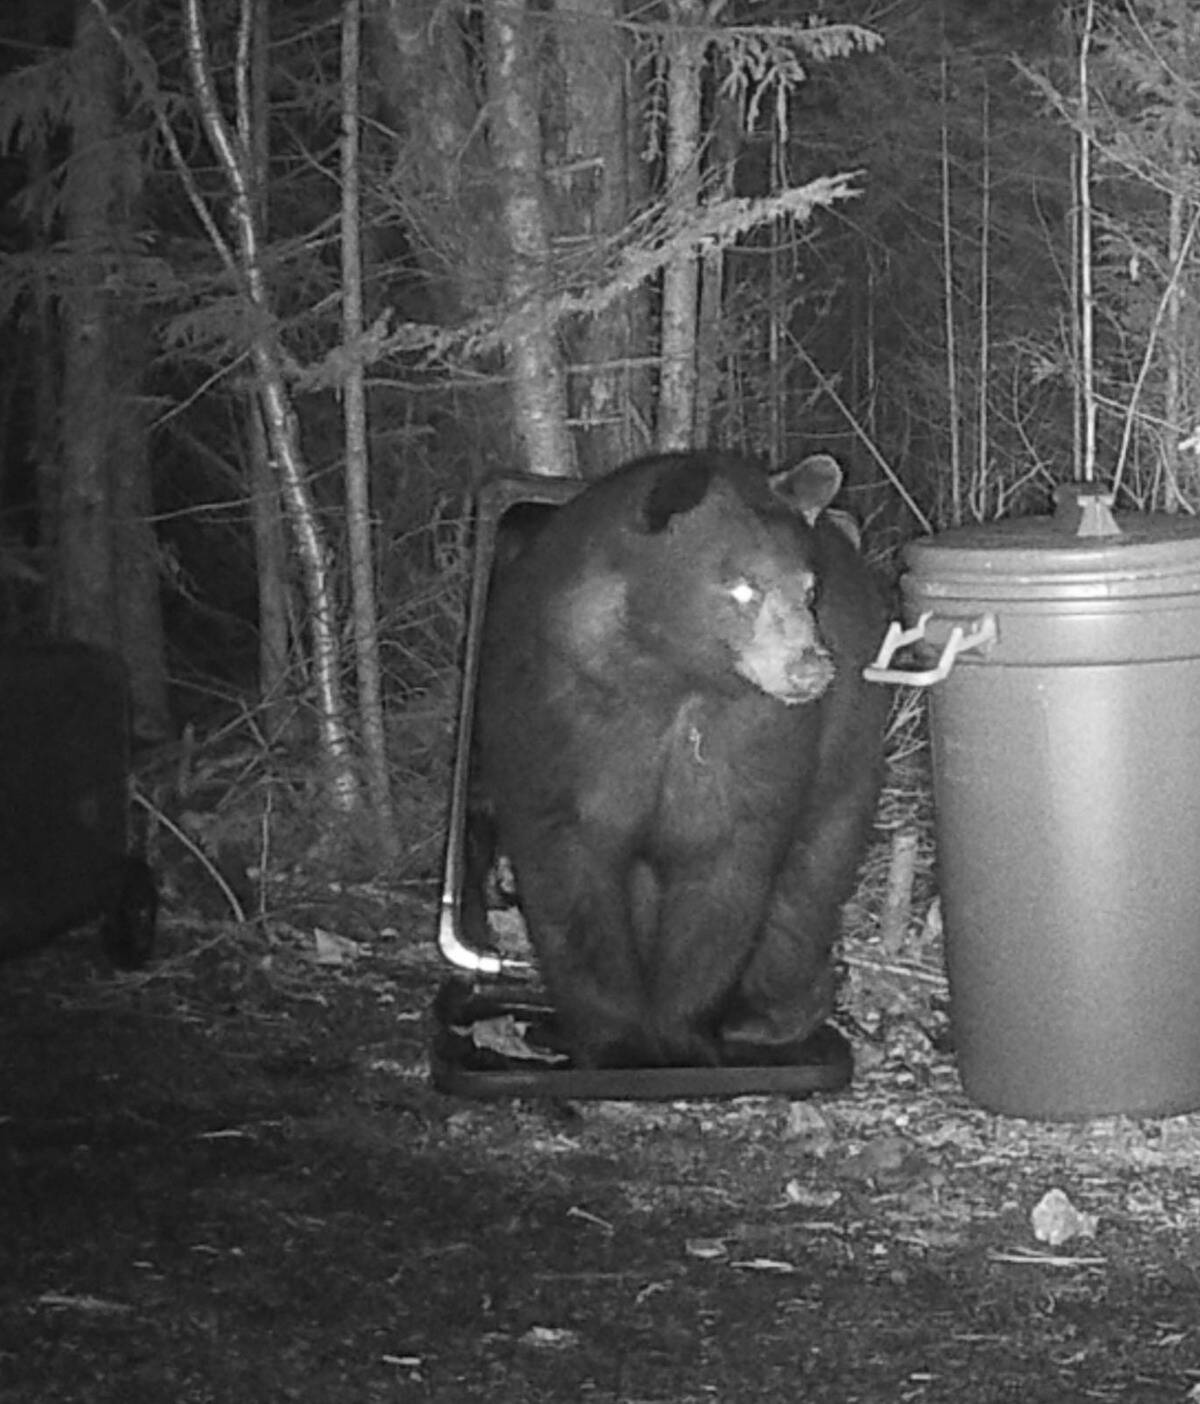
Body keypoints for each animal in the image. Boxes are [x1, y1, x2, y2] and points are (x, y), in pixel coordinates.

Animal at [474, 449, 890, 1069]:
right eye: (741, 587)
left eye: (810, 590)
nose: (809, 668)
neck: (668, 676)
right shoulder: (561, 717)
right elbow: (568, 864)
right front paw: (615, 1037)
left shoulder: (753, 737)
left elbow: (725, 861)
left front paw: (682, 1032)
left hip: (848, 758)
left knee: (812, 877)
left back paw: (768, 1014)